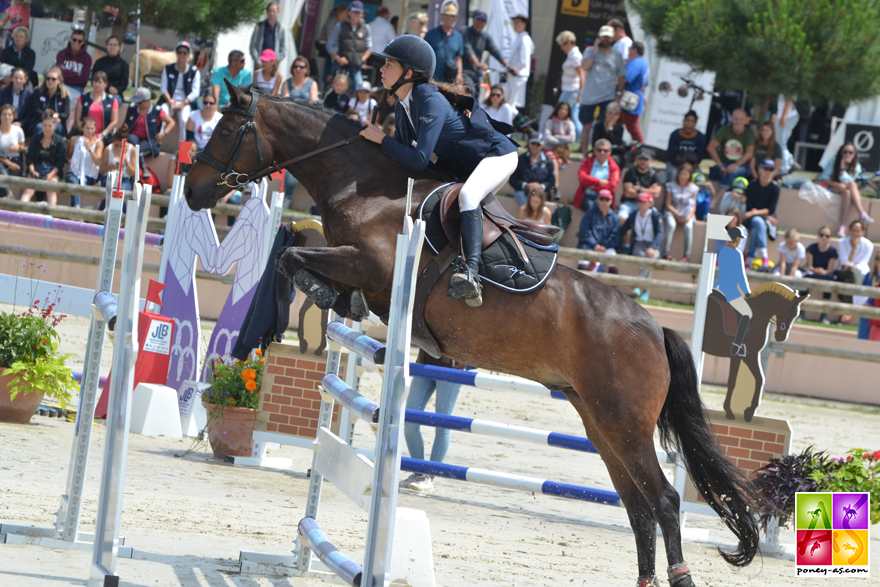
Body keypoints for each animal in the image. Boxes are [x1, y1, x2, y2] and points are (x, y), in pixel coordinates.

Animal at [184, 81, 764, 584]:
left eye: (224, 129)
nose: (191, 192)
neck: (366, 188)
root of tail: (655, 328)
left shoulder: (371, 266)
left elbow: (292, 257)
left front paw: (331, 294)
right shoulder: (355, 267)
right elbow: (298, 257)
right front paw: (336, 300)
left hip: (623, 423)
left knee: (663, 501)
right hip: (600, 421)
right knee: (638, 505)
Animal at [704, 284, 808, 422]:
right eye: (793, 313)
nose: (781, 337)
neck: (758, 314)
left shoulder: (746, 356)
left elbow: (759, 379)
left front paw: (747, 412)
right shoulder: (743, 355)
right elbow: (735, 381)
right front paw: (733, 411)